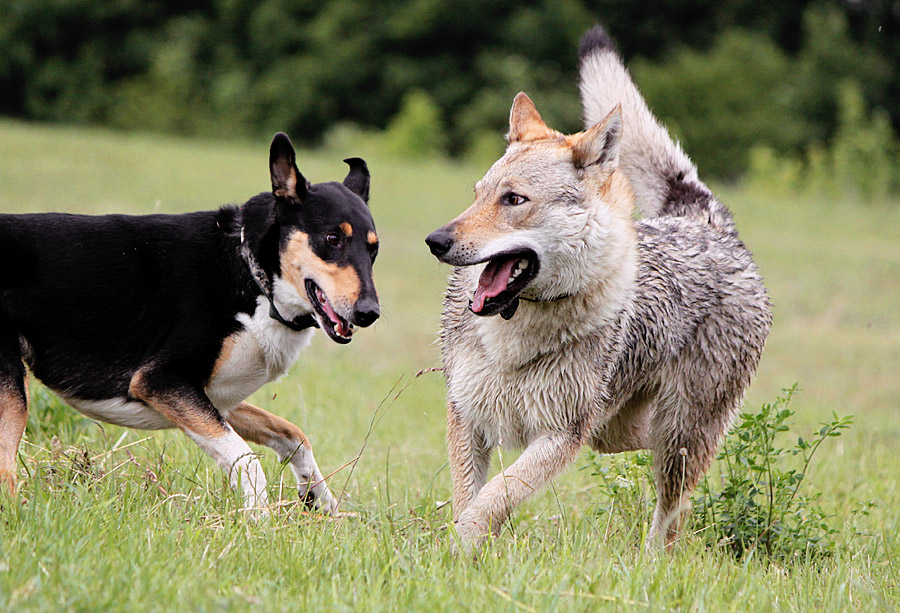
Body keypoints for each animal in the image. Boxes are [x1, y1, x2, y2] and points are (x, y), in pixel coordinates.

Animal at [0, 134, 378, 512]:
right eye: (332, 239)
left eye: (373, 248)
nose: (370, 313)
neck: (251, 274)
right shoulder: (163, 383)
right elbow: (247, 460)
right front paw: (257, 519)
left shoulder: (213, 397)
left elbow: (293, 435)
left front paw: (321, 502)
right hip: (12, 393)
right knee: (7, 476)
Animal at [426, 25, 768, 548]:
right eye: (478, 195)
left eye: (514, 200)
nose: (436, 241)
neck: (518, 332)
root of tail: (706, 223)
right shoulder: (468, 417)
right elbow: (473, 496)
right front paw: (457, 553)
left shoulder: (562, 434)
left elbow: (494, 497)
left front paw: (462, 548)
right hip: (619, 432)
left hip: (677, 437)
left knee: (670, 513)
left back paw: (652, 564)